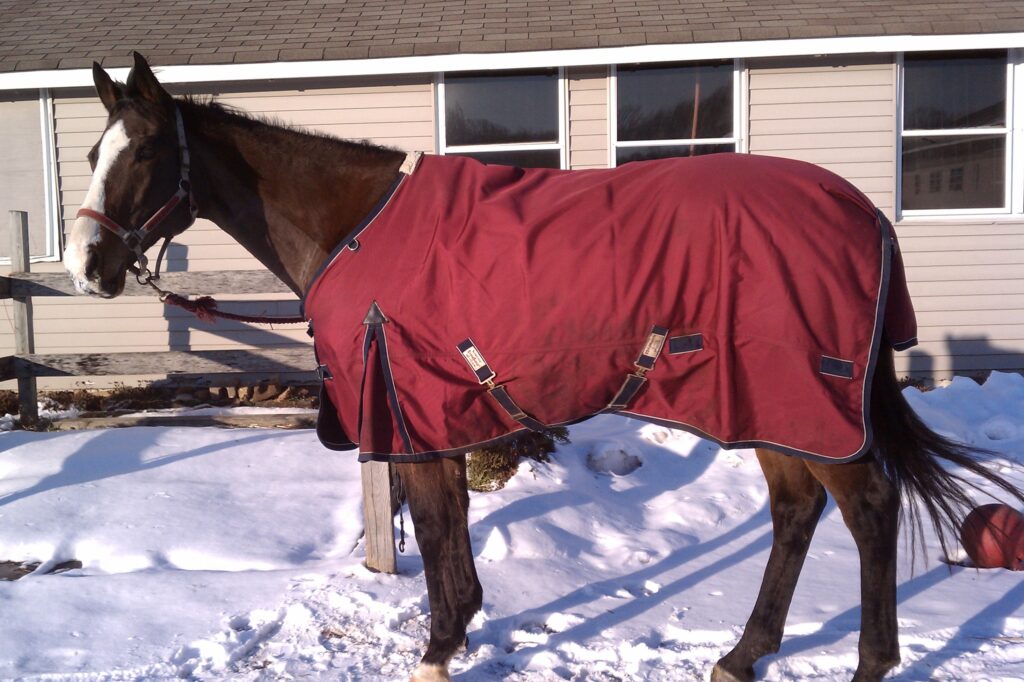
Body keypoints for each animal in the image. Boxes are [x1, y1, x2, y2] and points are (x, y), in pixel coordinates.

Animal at [65, 53, 1022, 682]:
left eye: (144, 153)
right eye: (89, 154)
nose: (87, 269)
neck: (354, 224)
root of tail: (863, 211)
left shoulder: (411, 412)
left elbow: (436, 534)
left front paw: (438, 652)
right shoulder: (433, 417)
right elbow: (447, 534)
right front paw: (457, 634)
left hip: (806, 404)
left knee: (868, 510)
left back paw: (864, 662)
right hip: (769, 408)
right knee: (796, 514)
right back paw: (742, 655)